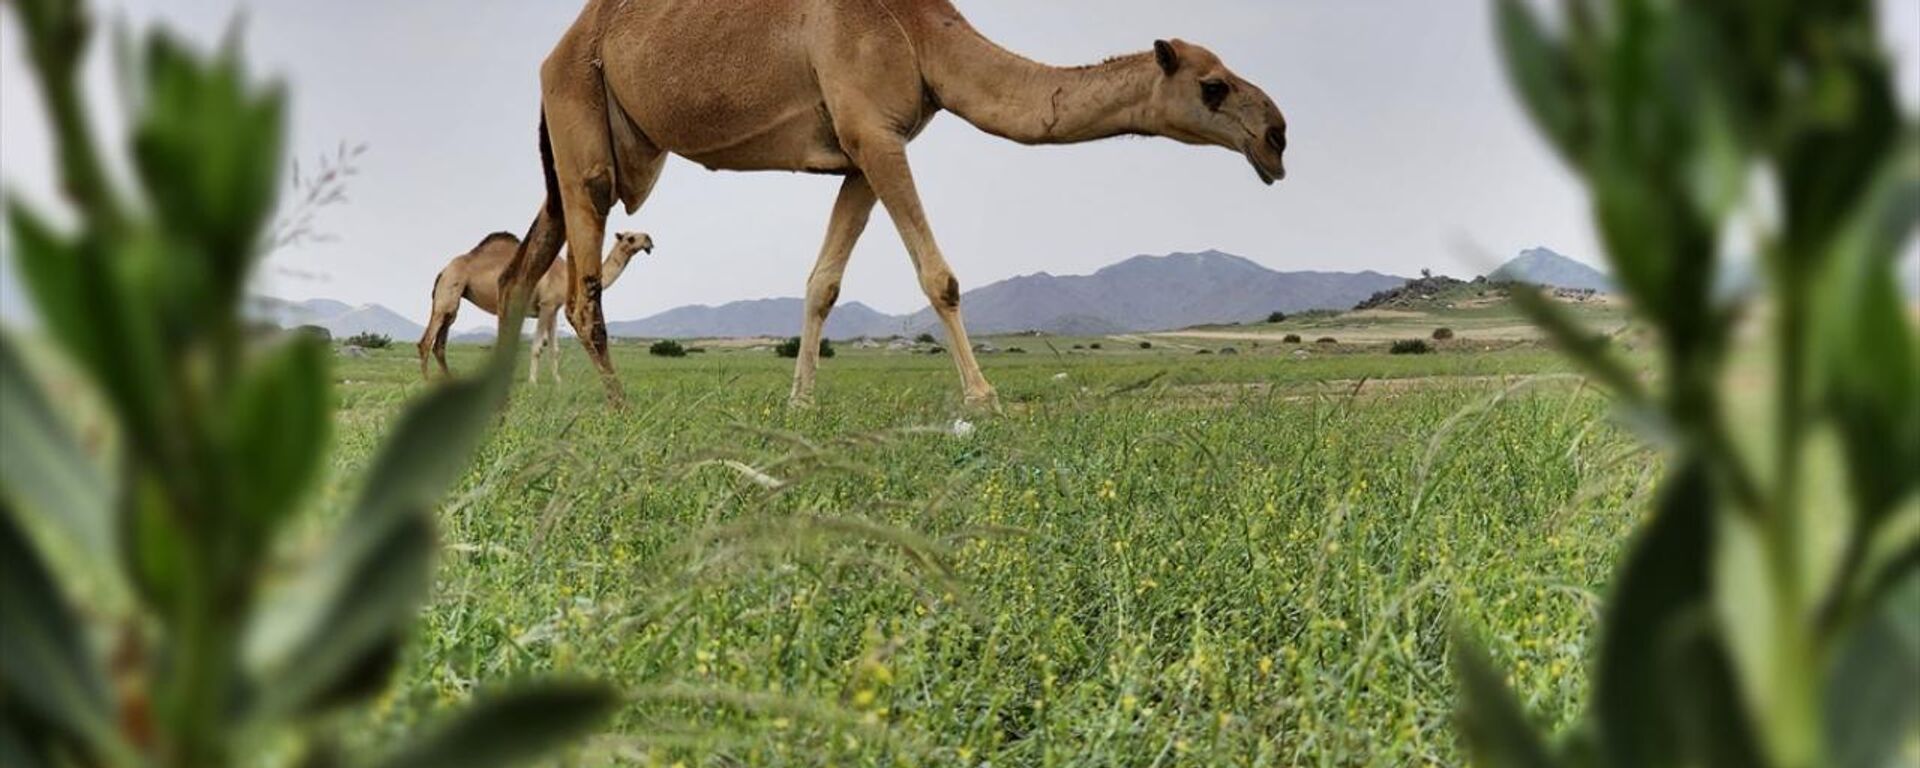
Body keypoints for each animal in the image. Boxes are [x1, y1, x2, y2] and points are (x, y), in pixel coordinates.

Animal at [424, 228, 656, 384]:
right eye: (630, 237)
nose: (649, 240)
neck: (566, 274)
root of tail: (443, 270)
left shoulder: (554, 309)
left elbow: (554, 348)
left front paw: (558, 381)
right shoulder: (546, 305)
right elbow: (537, 347)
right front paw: (533, 381)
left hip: (454, 301)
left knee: (440, 343)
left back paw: (449, 380)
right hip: (448, 291)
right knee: (427, 340)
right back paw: (426, 380)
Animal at [503, 0, 1290, 407]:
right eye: (1214, 86)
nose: (1278, 136)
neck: (919, 35)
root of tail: (556, 48)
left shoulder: (860, 153)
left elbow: (822, 282)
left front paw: (801, 401)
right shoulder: (875, 133)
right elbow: (939, 276)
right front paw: (983, 398)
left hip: (578, 141)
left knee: (521, 272)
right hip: (584, 126)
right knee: (582, 288)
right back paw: (619, 406)